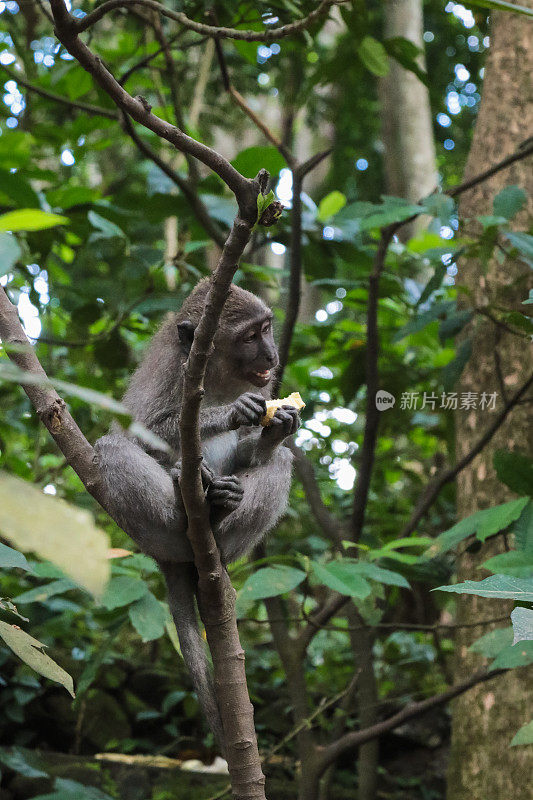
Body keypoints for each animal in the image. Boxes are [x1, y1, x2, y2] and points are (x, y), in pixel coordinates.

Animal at [94, 278, 300, 748]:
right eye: (249, 337)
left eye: (267, 328)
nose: (271, 356)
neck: (217, 375)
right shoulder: (174, 370)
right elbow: (141, 430)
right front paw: (228, 414)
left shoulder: (264, 386)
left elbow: (255, 447)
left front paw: (275, 429)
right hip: (151, 533)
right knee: (111, 448)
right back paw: (189, 501)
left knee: (279, 463)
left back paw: (220, 518)